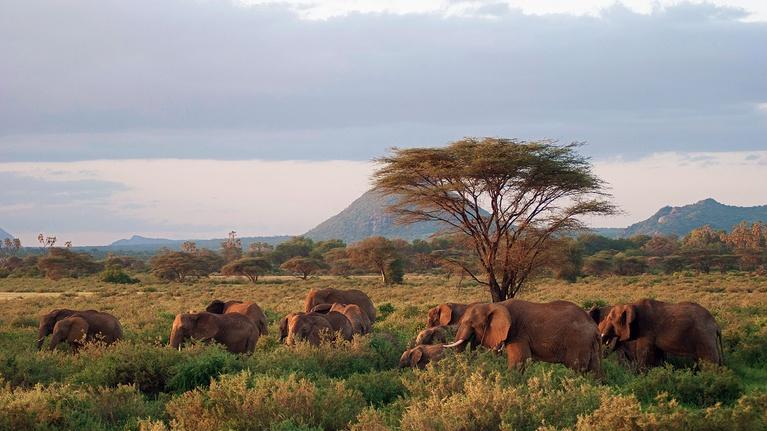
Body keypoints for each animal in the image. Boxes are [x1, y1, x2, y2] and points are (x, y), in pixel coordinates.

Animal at [444, 300, 601, 374]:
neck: (496, 305)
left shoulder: (518, 333)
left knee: (577, 369)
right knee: (595, 372)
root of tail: (594, 327)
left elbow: (518, 362)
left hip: (578, 342)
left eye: (470, 323)